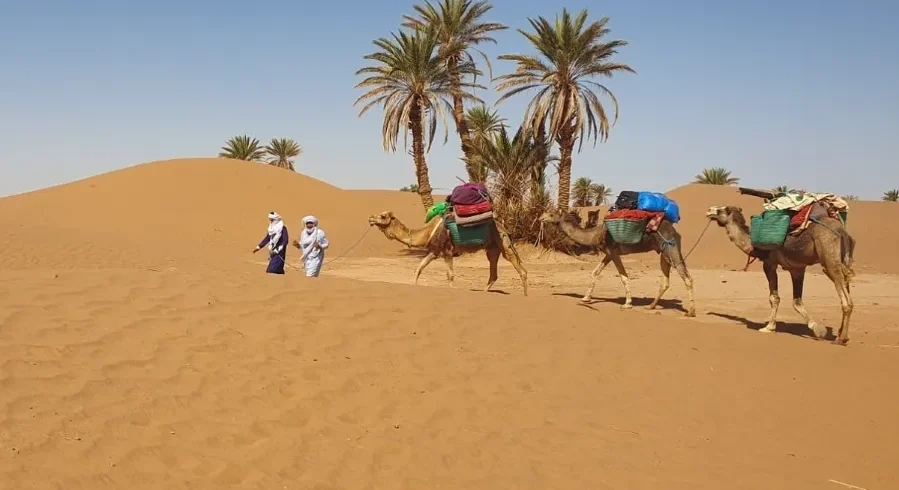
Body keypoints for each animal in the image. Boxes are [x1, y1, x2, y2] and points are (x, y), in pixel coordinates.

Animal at [367, 211, 528, 295]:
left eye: (383, 216)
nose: (370, 217)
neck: (427, 233)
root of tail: (503, 226)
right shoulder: (435, 252)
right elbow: (419, 268)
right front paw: (414, 286)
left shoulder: (447, 251)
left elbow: (450, 275)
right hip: (492, 248)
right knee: (493, 272)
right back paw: (484, 292)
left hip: (503, 243)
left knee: (519, 268)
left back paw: (525, 296)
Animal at [540, 210, 696, 316]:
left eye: (551, 213)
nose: (541, 217)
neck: (596, 234)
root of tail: (675, 232)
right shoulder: (609, 254)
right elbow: (595, 272)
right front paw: (586, 298)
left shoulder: (614, 252)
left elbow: (623, 276)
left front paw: (627, 304)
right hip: (663, 252)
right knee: (665, 281)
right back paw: (650, 306)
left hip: (670, 247)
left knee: (687, 277)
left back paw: (691, 312)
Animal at [706, 205, 856, 345]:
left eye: (722, 209)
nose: (709, 210)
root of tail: (842, 232)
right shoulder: (797, 268)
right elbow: (797, 302)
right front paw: (817, 327)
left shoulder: (769, 263)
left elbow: (774, 298)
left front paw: (769, 327)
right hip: (844, 261)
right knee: (847, 288)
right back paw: (841, 335)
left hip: (829, 260)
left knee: (846, 301)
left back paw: (841, 338)